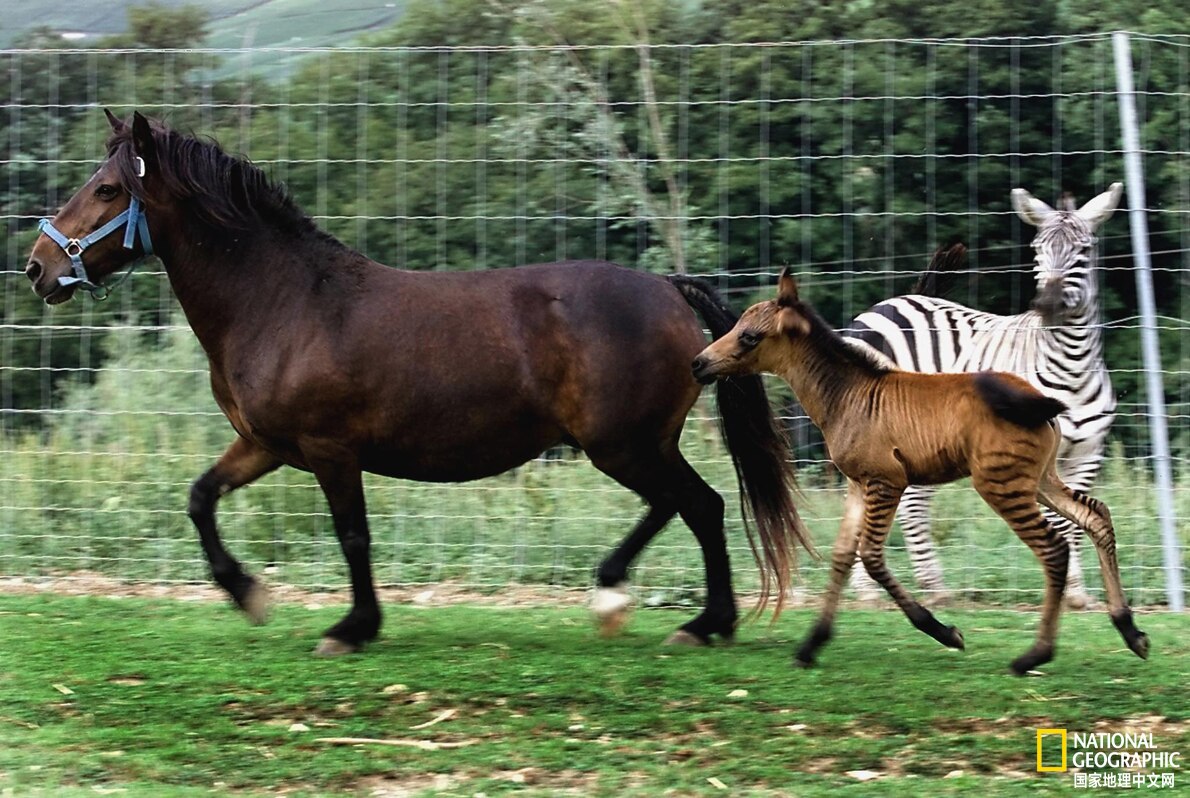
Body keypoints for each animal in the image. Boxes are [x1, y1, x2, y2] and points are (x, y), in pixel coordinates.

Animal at [25, 110, 818, 656]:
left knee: (691, 504)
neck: (285, 302)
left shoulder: (329, 451)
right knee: (691, 505)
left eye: (105, 189)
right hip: (637, 443)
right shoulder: (266, 446)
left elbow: (352, 536)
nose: (37, 267)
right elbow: (199, 499)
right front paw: (248, 595)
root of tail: (668, 290)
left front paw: (352, 627)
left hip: (621, 443)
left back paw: (663, 610)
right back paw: (679, 614)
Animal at [694, 268, 1147, 675]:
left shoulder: (887, 482)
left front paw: (943, 631)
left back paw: (1034, 655)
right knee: (1096, 516)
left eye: (749, 336)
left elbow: (871, 557)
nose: (699, 363)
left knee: (1055, 548)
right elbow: (842, 556)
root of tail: (1039, 400)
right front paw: (811, 645)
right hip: (1039, 480)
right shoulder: (858, 485)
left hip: (1001, 483)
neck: (850, 394)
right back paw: (1130, 630)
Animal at [842, 184, 1118, 608]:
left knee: (911, 501)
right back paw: (872, 591)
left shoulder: (1088, 454)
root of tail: (903, 298)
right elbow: (1059, 519)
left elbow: (1074, 519)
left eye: (1083, 251)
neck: (1070, 367)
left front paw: (1076, 594)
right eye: (1037, 250)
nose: (1049, 305)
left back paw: (931, 586)